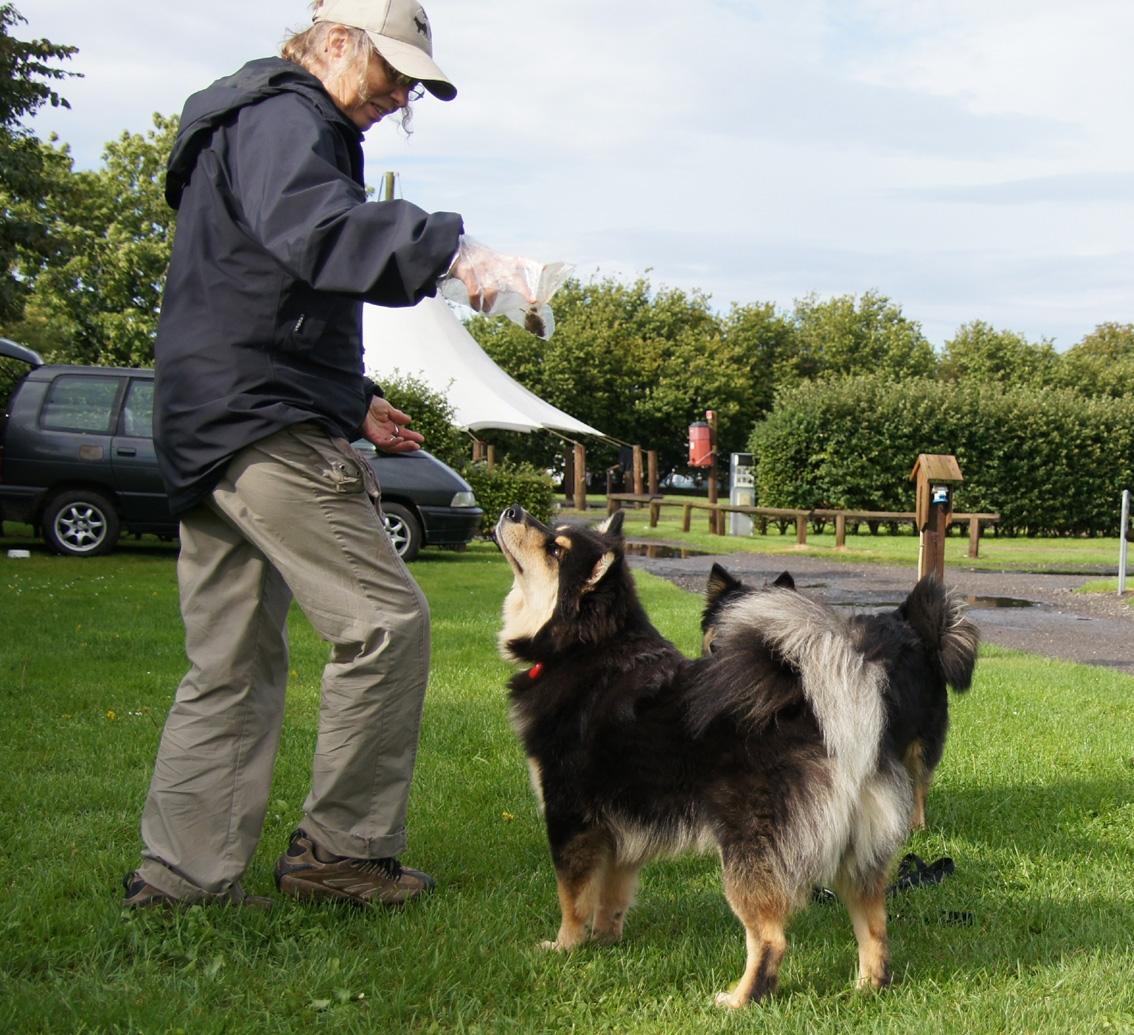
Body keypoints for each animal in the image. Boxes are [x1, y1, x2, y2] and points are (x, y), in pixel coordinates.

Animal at [494, 505, 938, 1006]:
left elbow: (572, 898)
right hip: (856, 856)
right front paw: (606, 941)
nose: (512, 510)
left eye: (555, 548)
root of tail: (832, 713)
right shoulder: (621, 829)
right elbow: (611, 896)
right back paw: (866, 988)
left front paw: (566, 946)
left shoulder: (570, 816)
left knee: (771, 939)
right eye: (554, 533)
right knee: (875, 926)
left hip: (748, 856)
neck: (586, 649)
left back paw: (740, 1000)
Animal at [698, 562, 975, 829]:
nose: (717, 647)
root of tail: (909, 622)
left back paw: (916, 825)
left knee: (917, 782)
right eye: (720, 620)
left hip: (921, 737)